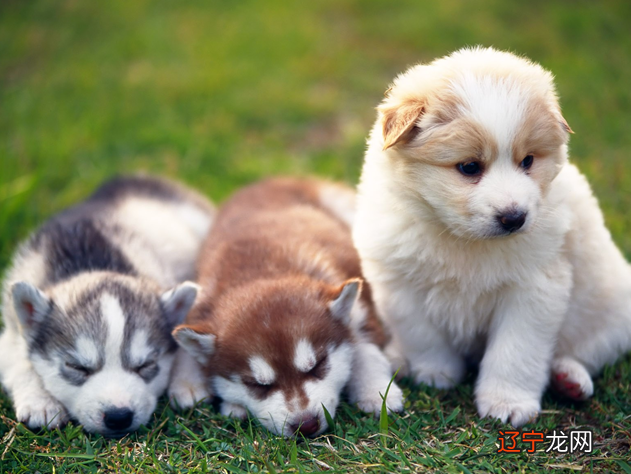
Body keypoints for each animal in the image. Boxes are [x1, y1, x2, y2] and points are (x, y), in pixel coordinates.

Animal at [0, 175, 215, 436]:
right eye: (77, 367)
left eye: (145, 365)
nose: (118, 417)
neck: (92, 263)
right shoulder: (9, 332)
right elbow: (20, 361)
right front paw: (41, 402)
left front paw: (187, 382)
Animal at [169, 177, 404, 436]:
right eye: (258, 385)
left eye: (317, 366)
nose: (306, 425)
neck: (261, 270)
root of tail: (275, 179)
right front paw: (190, 385)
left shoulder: (357, 306)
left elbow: (365, 348)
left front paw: (376, 391)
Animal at [354, 47, 631, 426]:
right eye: (470, 167)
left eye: (528, 161)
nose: (514, 218)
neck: (462, 240)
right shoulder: (400, 286)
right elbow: (423, 336)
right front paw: (436, 373)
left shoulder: (533, 291)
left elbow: (515, 352)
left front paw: (507, 403)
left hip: (613, 310)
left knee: (588, 350)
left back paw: (569, 379)